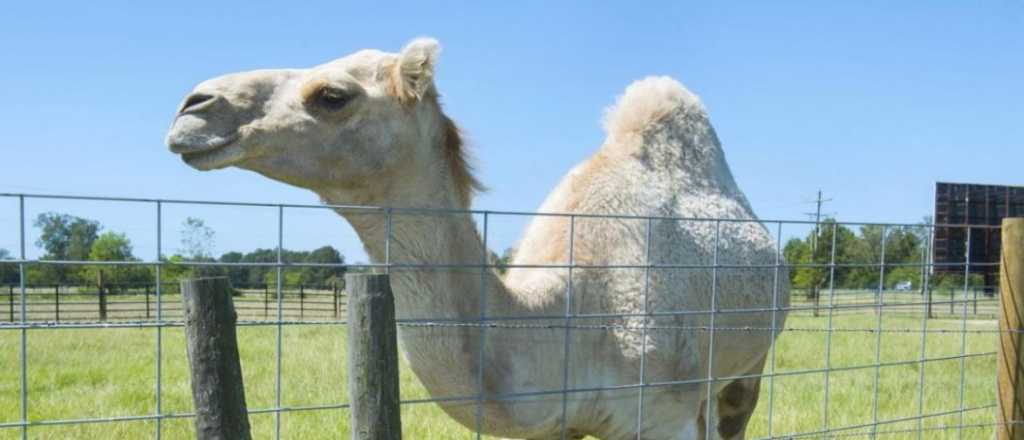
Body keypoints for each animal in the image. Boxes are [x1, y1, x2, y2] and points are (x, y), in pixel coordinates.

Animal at [167, 38, 790, 440]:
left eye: (332, 95)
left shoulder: (662, 414)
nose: (192, 106)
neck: (572, 315)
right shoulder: (556, 425)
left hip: (749, 364)